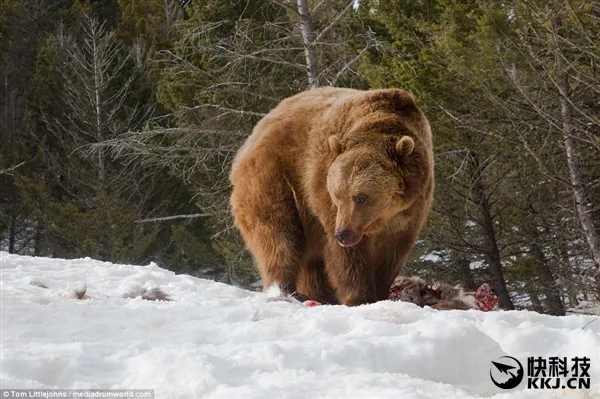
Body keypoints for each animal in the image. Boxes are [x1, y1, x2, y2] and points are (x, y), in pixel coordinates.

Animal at [229, 86, 432, 306]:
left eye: (362, 197)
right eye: (337, 194)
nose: (342, 233)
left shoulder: (410, 210)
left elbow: (391, 255)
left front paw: (380, 292)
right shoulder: (322, 190)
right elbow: (348, 257)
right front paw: (359, 296)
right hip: (274, 177)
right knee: (279, 234)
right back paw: (284, 289)